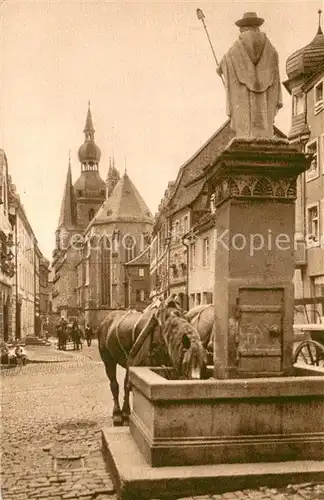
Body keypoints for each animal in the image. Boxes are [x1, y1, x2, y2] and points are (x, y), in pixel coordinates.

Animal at [97, 296, 208, 426]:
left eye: (204, 364)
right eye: (186, 364)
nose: (195, 383)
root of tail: (106, 320)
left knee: (124, 384)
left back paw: (124, 413)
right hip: (108, 359)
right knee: (114, 384)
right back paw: (117, 415)